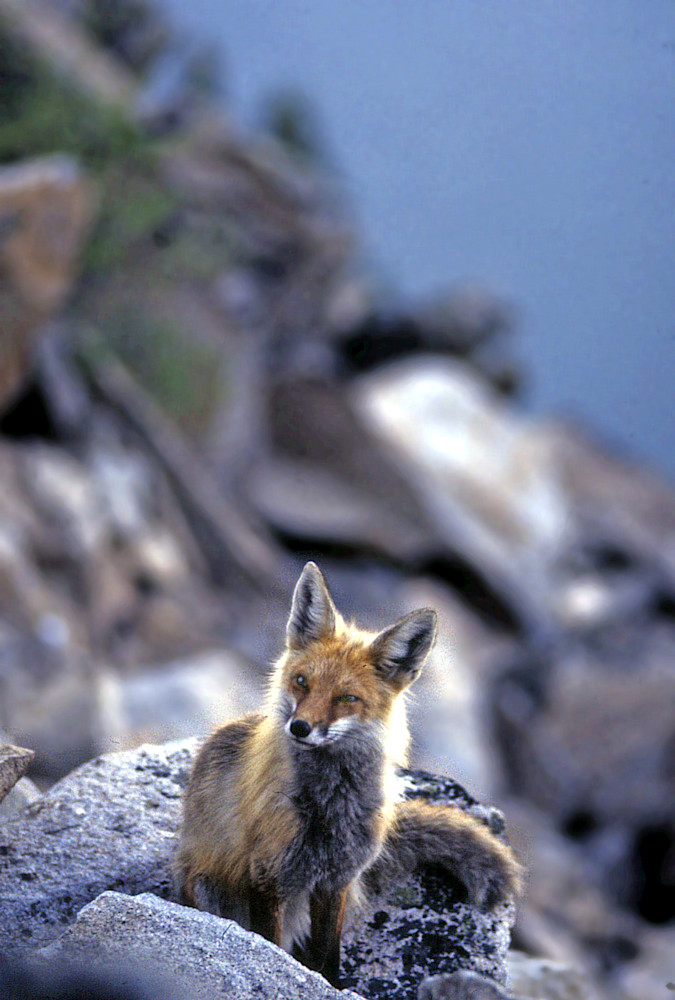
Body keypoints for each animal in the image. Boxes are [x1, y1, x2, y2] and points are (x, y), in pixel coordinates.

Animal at [174, 561, 523, 987]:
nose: (300, 728)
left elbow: (328, 955)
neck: (329, 807)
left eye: (346, 698)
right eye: (302, 681)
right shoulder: (269, 876)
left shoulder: (336, 880)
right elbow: (268, 944)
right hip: (208, 886)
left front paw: (332, 984)